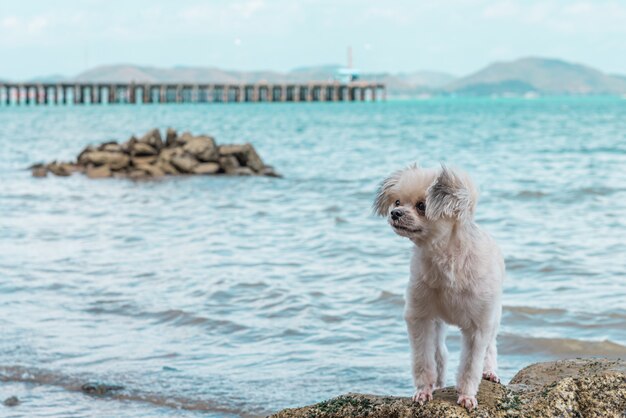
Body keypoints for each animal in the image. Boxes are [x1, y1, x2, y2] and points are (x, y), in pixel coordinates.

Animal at [372, 164, 504, 412]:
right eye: (397, 201)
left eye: (422, 206)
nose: (395, 213)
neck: (445, 257)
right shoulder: (421, 317)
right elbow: (423, 360)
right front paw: (424, 390)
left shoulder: (478, 325)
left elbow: (471, 365)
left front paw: (466, 395)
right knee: (439, 354)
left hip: (494, 314)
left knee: (490, 346)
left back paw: (490, 371)